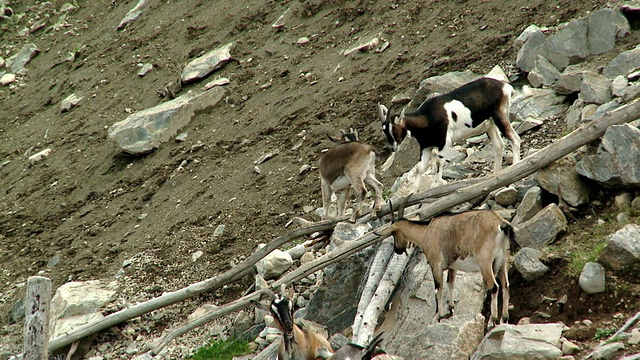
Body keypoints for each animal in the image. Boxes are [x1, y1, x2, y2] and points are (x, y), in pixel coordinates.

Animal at [378, 194, 512, 330]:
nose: (397, 249)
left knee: (494, 286)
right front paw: (450, 311)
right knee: (505, 286)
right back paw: (504, 319)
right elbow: (450, 283)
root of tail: (501, 224)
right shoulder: (453, 266)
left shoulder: (436, 264)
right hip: (503, 260)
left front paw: (438, 317)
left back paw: (492, 321)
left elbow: (438, 289)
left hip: (485, 261)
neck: (427, 232)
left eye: (393, 233)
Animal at [380, 77, 520, 187]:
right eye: (384, 131)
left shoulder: (444, 142)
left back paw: (515, 166)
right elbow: (420, 169)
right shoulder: (426, 146)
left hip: (500, 115)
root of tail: (505, 87)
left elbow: (439, 162)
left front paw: (435, 186)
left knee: (515, 139)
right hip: (490, 125)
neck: (427, 117)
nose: (393, 148)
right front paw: (414, 193)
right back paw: (496, 174)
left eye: (394, 128)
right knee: (499, 145)